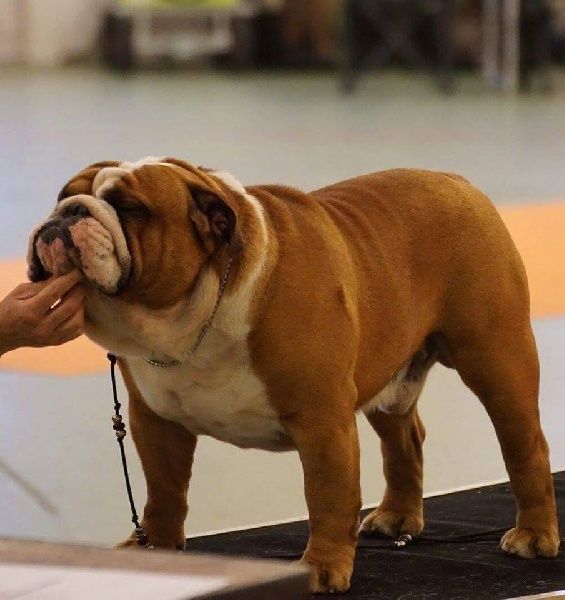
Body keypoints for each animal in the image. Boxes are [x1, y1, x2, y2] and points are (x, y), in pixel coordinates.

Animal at [28, 157, 559, 593]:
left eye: (129, 207)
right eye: (62, 194)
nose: (68, 212)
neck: (190, 316)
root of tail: (457, 182)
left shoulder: (322, 422)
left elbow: (327, 496)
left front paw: (322, 568)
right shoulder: (156, 423)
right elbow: (163, 492)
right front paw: (156, 551)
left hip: (496, 359)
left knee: (526, 446)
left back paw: (534, 535)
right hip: (387, 375)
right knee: (404, 440)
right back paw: (397, 517)